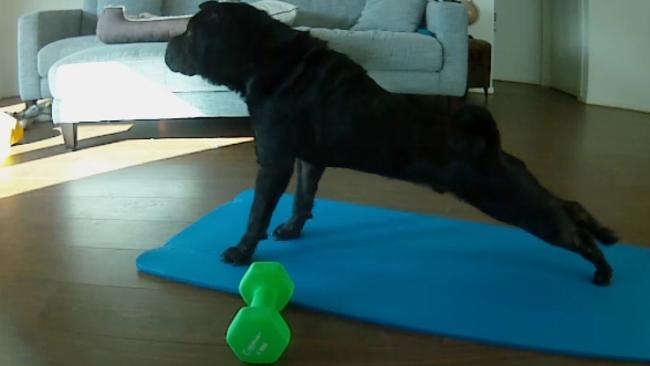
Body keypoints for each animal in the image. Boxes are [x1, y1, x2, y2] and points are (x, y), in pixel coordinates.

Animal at [165, 1, 616, 284]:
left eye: (188, 34)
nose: (167, 44)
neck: (268, 56)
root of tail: (486, 142)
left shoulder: (274, 161)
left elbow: (257, 211)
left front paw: (242, 252)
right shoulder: (308, 160)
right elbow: (303, 199)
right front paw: (293, 229)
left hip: (504, 198)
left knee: (565, 228)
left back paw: (602, 267)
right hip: (511, 185)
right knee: (565, 205)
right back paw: (605, 232)